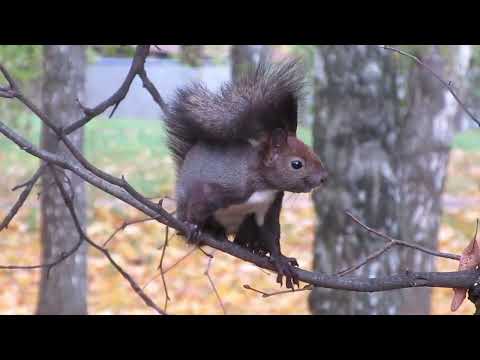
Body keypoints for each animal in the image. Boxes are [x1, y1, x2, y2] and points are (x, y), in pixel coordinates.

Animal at [163, 59, 328, 290]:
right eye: (297, 164)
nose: (323, 177)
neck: (263, 184)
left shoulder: (269, 206)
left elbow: (271, 235)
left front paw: (281, 260)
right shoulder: (217, 189)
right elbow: (198, 205)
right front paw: (193, 227)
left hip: (246, 224)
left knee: (246, 239)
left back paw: (253, 247)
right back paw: (210, 232)